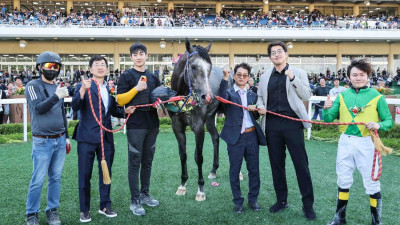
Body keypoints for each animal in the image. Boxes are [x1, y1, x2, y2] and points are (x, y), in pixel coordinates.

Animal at [170, 39, 234, 201]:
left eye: (209, 67)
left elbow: (198, 157)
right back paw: (213, 170)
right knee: (215, 137)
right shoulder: (177, 127)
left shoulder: (198, 127)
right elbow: (183, 155)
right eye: (193, 66)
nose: (207, 97)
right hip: (210, 118)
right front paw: (182, 185)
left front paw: (200, 190)